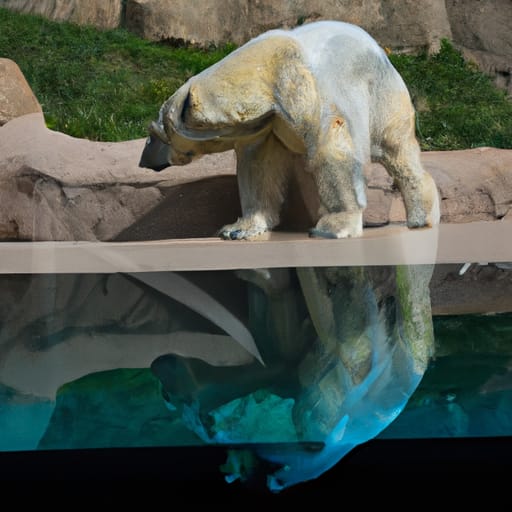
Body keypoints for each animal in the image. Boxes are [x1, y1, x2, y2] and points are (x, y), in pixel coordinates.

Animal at [140, 18, 440, 238]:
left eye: (153, 135)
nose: (143, 160)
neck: (268, 67)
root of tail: (381, 50)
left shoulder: (302, 91)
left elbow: (332, 152)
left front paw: (331, 228)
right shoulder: (268, 124)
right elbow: (259, 167)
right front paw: (238, 229)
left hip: (380, 93)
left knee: (395, 148)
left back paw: (421, 217)